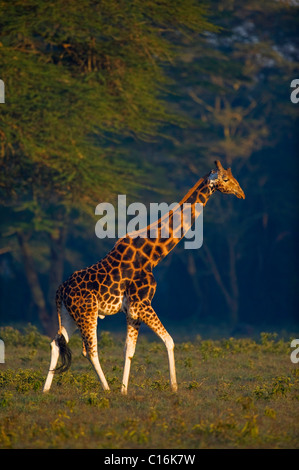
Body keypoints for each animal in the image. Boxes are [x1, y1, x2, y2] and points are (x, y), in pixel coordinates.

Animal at [44, 160, 246, 394]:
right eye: (226, 179)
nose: (241, 193)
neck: (152, 256)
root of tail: (60, 290)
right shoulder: (142, 304)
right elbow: (169, 341)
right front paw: (174, 387)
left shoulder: (132, 309)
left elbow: (129, 350)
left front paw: (124, 390)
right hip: (87, 313)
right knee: (90, 351)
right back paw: (106, 389)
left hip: (69, 314)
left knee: (56, 343)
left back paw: (45, 390)